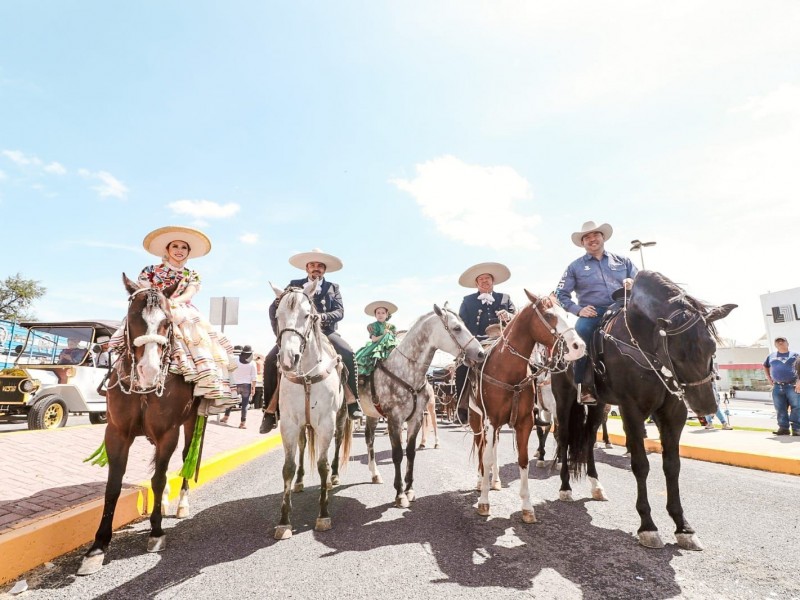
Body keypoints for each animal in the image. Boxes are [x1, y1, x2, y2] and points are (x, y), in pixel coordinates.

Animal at [78, 274, 202, 576]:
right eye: (133, 316)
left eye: (168, 321)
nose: (150, 371)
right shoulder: (117, 433)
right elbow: (113, 485)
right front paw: (98, 546)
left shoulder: (168, 432)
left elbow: (158, 479)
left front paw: (156, 531)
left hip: (190, 421)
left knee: (184, 458)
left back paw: (181, 503)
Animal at [270, 282, 352, 540]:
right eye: (277, 315)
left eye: (308, 315)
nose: (288, 359)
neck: (306, 374)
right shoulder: (289, 424)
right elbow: (288, 467)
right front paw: (284, 521)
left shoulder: (325, 423)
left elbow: (322, 465)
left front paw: (323, 515)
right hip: (303, 425)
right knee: (304, 444)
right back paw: (299, 482)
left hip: (341, 417)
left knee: (338, 442)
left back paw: (334, 476)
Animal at [360, 304, 484, 506]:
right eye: (457, 328)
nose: (481, 353)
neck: (405, 371)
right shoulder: (395, 420)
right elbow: (397, 454)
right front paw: (400, 494)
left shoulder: (416, 419)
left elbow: (410, 452)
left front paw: (409, 489)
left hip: (372, 414)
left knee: (369, 439)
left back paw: (375, 474)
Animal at [468, 292, 588, 524]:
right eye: (549, 315)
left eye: (565, 313)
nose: (578, 346)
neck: (507, 370)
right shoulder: (490, 420)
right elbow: (486, 457)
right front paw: (484, 502)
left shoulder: (525, 422)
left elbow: (523, 460)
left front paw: (527, 507)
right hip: (476, 420)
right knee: (480, 448)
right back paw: (480, 482)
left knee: (494, 448)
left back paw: (495, 480)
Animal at [552, 270, 736, 552]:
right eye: (677, 354)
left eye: (712, 348)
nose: (706, 406)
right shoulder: (632, 410)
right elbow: (641, 464)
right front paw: (648, 526)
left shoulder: (674, 412)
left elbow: (672, 465)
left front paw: (683, 527)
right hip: (564, 399)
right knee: (563, 438)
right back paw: (565, 488)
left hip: (599, 405)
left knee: (588, 438)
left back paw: (596, 486)